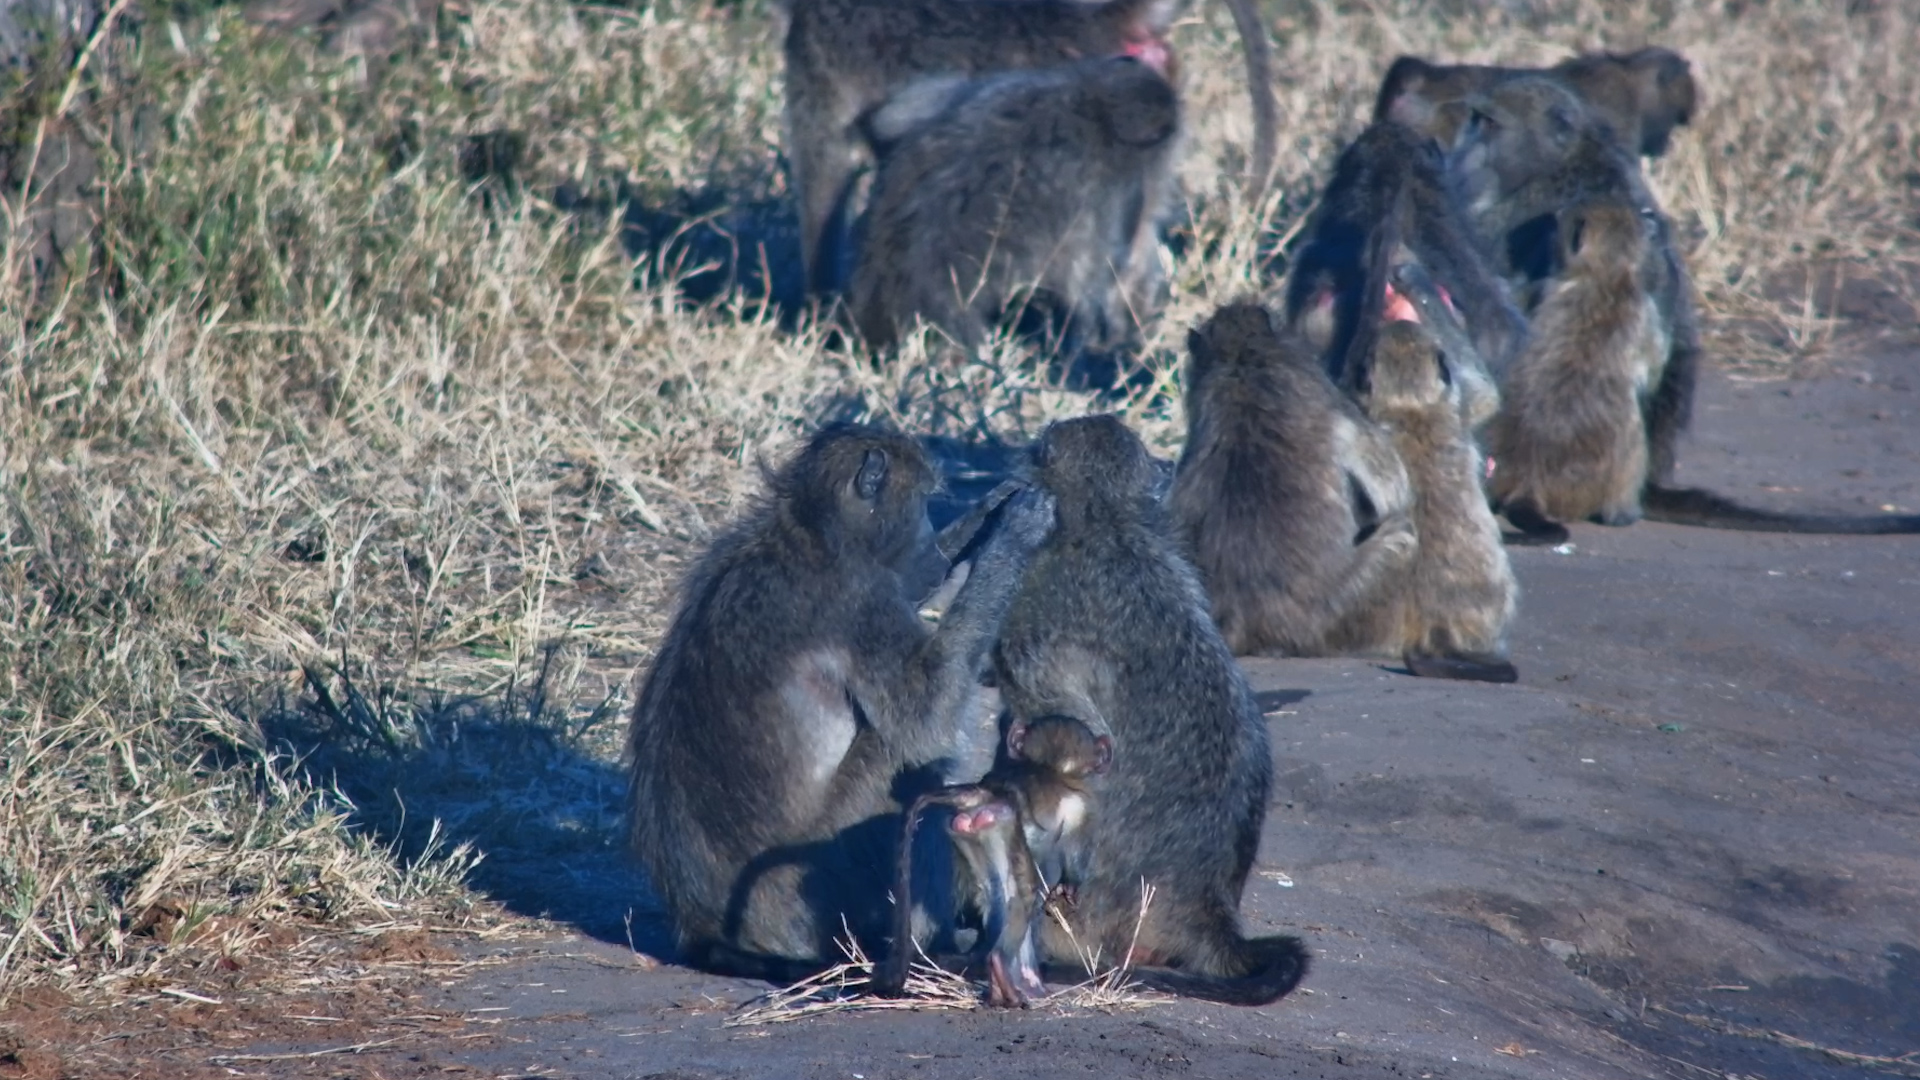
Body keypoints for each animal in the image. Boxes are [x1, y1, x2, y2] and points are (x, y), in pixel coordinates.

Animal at [625, 424, 1056, 981]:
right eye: (920, 504)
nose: (935, 560)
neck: (812, 531)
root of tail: (702, 927)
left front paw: (988, 515)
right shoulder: (862, 596)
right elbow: (927, 712)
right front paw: (1014, 534)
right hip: (817, 880)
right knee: (905, 760)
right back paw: (923, 947)